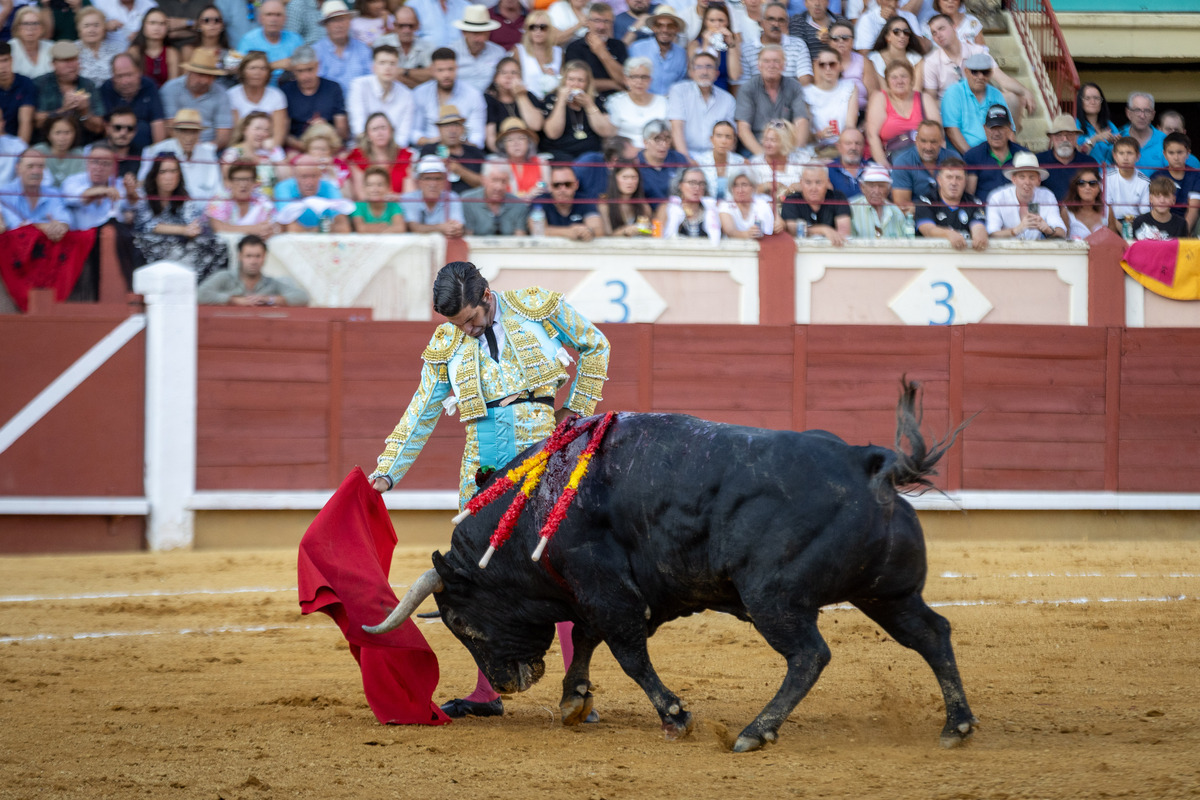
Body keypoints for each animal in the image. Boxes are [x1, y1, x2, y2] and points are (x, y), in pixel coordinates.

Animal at [364, 381, 974, 753]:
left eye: (461, 623)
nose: (506, 685)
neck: (537, 503)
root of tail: (869, 463)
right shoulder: (612, 592)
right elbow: (589, 637)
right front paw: (573, 699)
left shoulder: (607, 589)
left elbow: (628, 653)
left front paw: (675, 716)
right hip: (887, 593)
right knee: (932, 633)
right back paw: (957, 725)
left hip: (773, 598)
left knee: (809, 656)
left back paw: (754, 732)